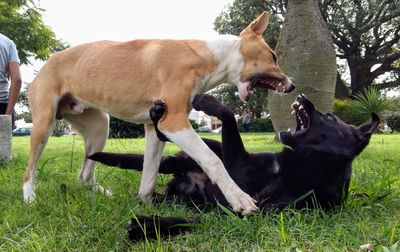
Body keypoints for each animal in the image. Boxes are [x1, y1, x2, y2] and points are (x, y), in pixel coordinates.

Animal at [24, 10, 294, 214]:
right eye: (273, 56)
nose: (292, 85)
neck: (204, 56)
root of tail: (47, 63)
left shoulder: (155, 128)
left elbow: (149, 175)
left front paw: (145, 204)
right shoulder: (173, 123)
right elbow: (212, 159)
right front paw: (239, 199)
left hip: (99, 129)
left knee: (84, 176)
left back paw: (103, 195)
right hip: (44, 126)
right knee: (29, 171)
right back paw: (30, 200)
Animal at [88, 93, 378, 241]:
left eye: (329, 117)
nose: (302, 94)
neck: (296, 166)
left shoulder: (250, 211)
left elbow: (197, 220)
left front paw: (147, 226)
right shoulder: (236, 162)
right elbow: (228, 116)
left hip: (179, 196)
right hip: (205, 147)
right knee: (165, 136)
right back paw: (157, 114)